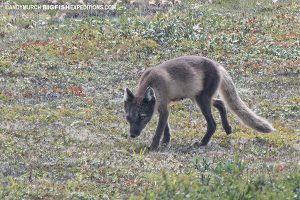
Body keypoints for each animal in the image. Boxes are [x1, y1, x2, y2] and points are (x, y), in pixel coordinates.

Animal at [123, 55, 276, 149]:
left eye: (142, 117)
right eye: (128, 118)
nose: (132, 135)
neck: (154, 83)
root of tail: (217, 65)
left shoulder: (164, 108)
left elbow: (159, 130)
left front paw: (154, 146)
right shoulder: (162, 107)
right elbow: (166, 127)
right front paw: (166, 141)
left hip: (202, 101)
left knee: (213, 124)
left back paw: (203, 143)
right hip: (198, 98)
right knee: (221, 103)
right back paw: (227, 128)